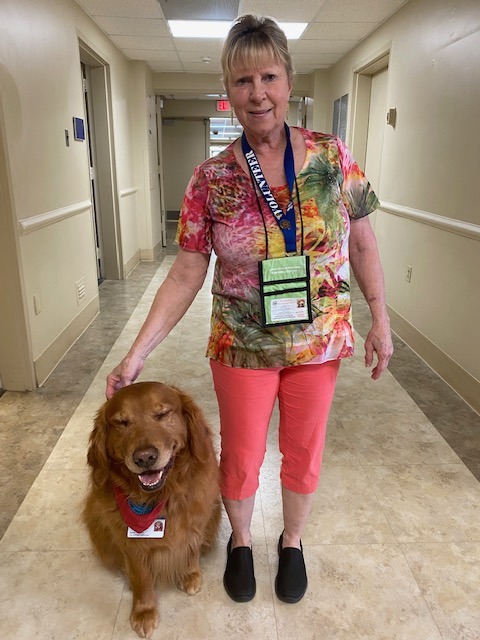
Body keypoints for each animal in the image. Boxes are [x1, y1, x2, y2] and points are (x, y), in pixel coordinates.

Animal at [83, 382, 222, 636]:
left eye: (162, 414)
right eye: (122, 422)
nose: (145, 457)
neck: (161, 497)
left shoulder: (196, 522)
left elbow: (191, 549)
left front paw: (190, 573)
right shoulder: (131, 543)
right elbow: (141, 577)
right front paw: (144, 611)